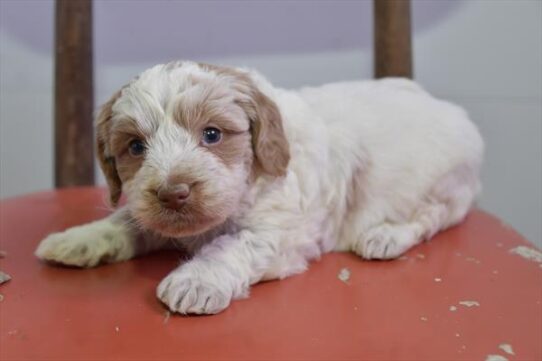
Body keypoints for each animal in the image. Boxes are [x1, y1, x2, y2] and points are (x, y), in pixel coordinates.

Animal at [35, 60, 484, 314]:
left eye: (212, 134)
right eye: (135, 147)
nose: (173, 193)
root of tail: (451, 109)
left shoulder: (282, 232)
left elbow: (234, 244)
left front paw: (196, 280)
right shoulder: (154, 214)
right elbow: (128, 219)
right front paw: (77, 239)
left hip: (447, 185)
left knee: (432, 217)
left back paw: (386, 236)